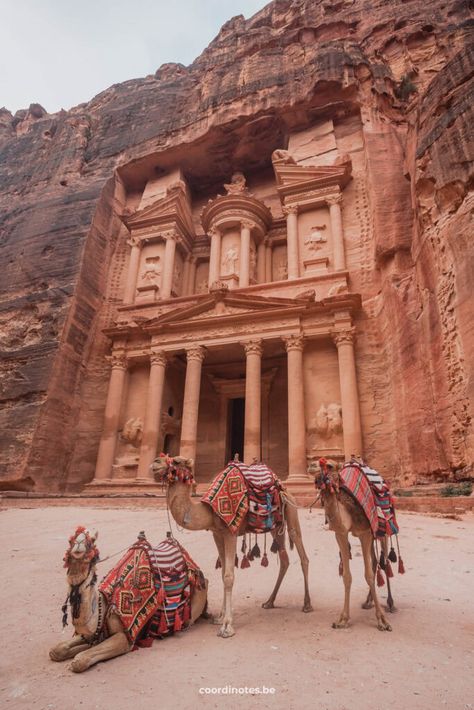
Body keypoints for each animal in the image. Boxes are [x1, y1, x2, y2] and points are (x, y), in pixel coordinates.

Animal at [48, 528, 209, 672]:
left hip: (196, 596)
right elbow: (56, 650)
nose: (78, 546)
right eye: (70, 540)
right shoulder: (92, 632)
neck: (105, 604)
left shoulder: (124, 637)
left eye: (91, 541)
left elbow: (81, 659)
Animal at [153, 458, 314, 644]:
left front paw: (227, 626)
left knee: (303, 555)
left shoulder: (230, 532)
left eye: (177, 461)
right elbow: (223, 572)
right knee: (285, 560)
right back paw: (269, 602)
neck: (209, 510)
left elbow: (229, 576)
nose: (155, 463)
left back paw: (307, 604)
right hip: (276, 527)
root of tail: (284, 487)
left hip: (291, 509)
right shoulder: (216, 533)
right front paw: (220, 617)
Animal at [312, 462, 396, 636]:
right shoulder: (341, 533)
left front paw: (382, 621)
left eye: (329, 465)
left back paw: (391, 604)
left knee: (384, 562)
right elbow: (346, 576)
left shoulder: (365, 533)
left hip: (382, 531)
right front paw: (342, 620)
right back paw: (368, 601)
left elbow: (369, 576)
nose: (311, 465)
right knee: (375, 560)